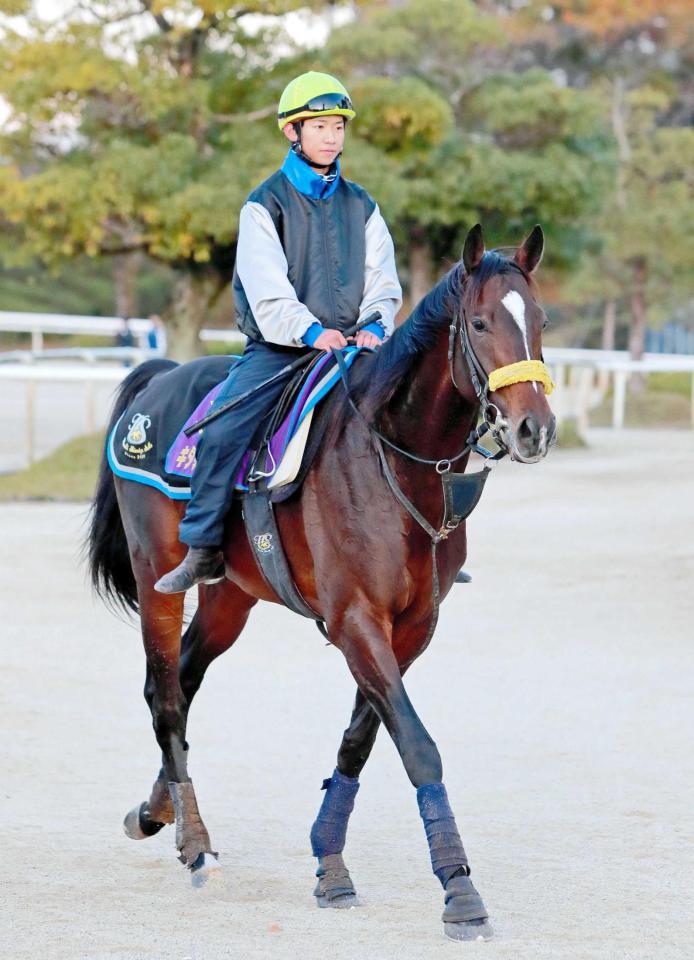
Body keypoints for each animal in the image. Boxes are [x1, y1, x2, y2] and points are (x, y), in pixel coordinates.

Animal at [87, 221, 556, 940]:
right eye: (479, 323)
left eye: (540, 320)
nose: (536, 428)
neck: (389, 458)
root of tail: (156, 385)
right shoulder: (355, 620)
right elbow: (417, 746)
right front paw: (459, 891)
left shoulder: (411, 629)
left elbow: (360, 742)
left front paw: (329, 865)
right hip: (155, 578)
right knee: (164, 695)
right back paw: (195, 844)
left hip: (229, 597)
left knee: (185, 682)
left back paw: (155, 813)